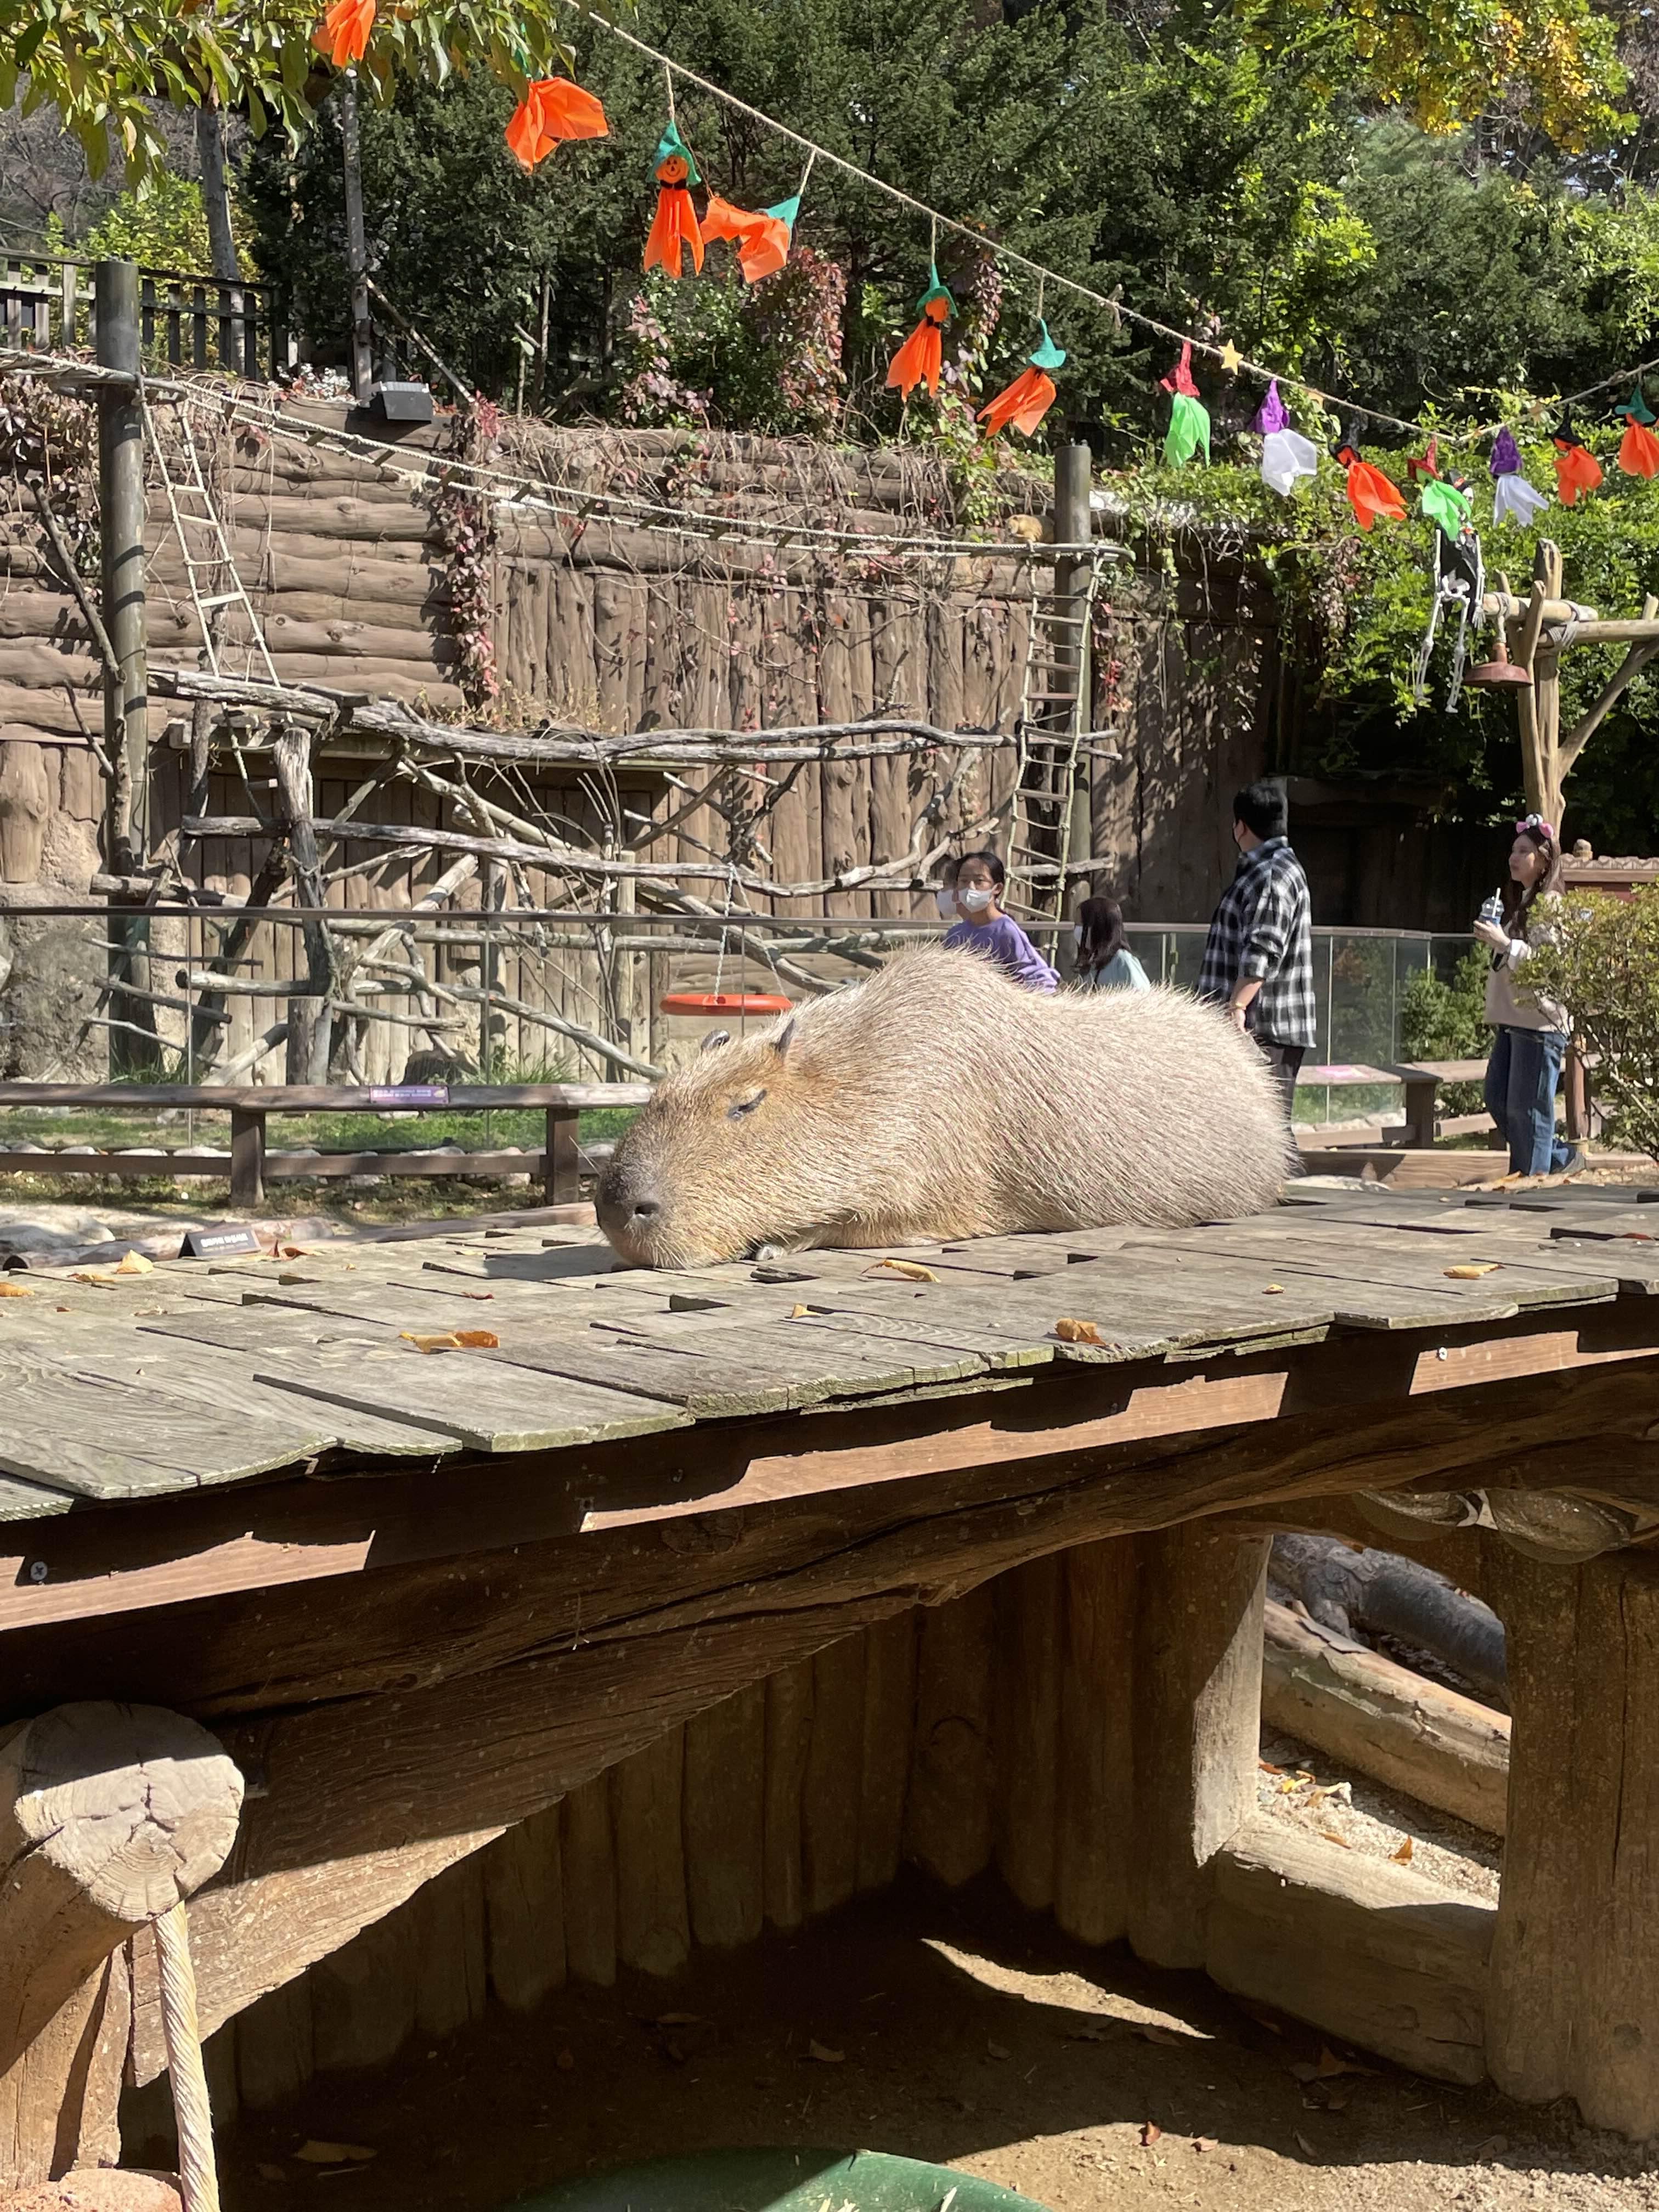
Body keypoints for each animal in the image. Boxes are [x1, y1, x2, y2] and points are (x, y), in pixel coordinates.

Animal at [597, 944, 1291, 1268]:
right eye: (659, 1093)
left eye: (746, 1104)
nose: (618, 1207)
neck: (878, 1059)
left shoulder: (951, 1182)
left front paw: (777, 1244)